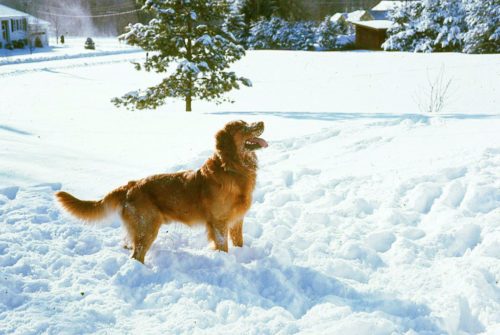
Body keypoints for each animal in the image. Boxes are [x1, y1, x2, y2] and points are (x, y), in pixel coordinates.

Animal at [55, 121, 268, 266]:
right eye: (243, 127)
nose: (261, 122)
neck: (232, 168)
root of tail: (130, 186)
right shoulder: (219, 222)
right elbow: (223, 246)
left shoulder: (237, 220)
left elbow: (239, 242)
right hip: (147, 227)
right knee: (137, 255)